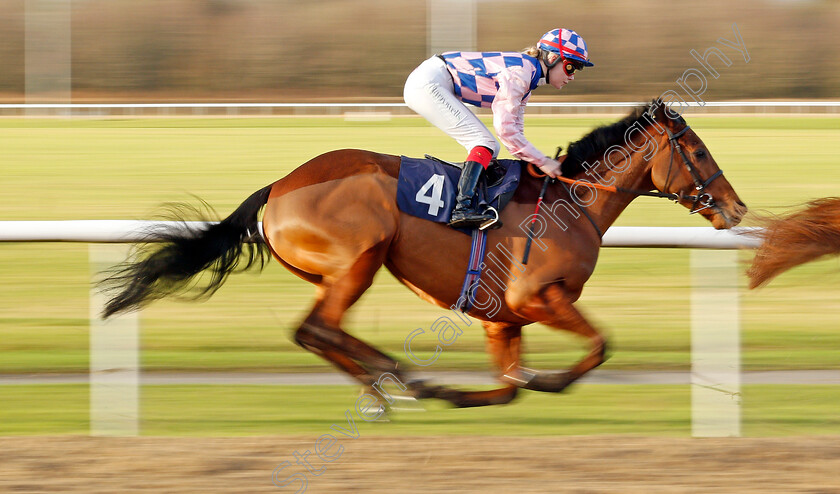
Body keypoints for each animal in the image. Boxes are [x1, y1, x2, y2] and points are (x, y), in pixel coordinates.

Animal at [103, 99, 748, 410]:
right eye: (696, 149)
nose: (736, 208)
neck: (573, 203)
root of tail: (280, 185)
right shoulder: (537, 297)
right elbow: (597, 346)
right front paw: (549, 382)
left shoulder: (502, 318)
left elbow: (509, 384)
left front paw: (462, 393)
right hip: (361, 257)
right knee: (318, 328)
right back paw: (398, 375)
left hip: (332, 271)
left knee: (316, 331)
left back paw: (388, 384)